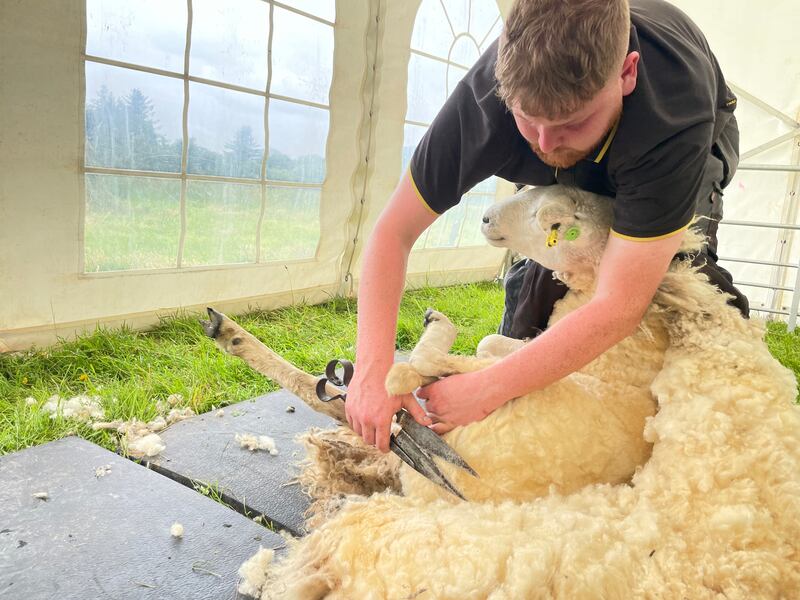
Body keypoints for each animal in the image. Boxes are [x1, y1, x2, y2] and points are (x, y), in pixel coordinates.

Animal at [227, 185, 800, 596]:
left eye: (547, 217)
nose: (484, 219)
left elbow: (464, 355)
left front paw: (415, 362)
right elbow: (492, 345)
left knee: (388, 388)